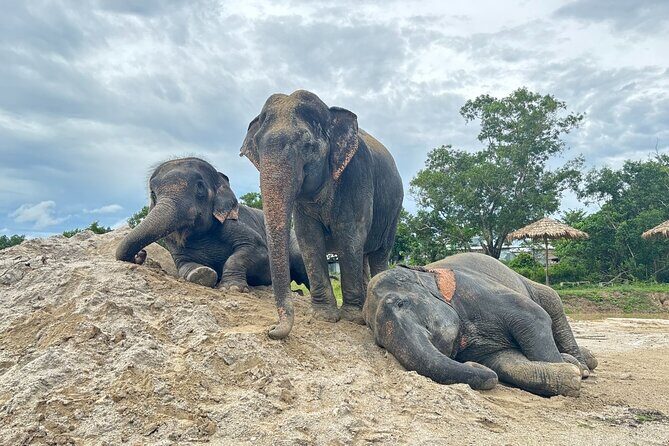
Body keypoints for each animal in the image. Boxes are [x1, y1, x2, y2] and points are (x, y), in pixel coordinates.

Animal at [115, 157, 310, 291]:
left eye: (200, 188)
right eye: (153, 193)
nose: (141, 254)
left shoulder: (232, 223)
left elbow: (257, 250)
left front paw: (232, 288)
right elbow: (183, 265)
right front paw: (203, 274)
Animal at [240, 90, 403, 339]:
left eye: (308, 146)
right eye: (257, 146)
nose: (271, 329)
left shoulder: (357, 175)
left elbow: (349, 235)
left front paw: (352, 319)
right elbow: (308, 238)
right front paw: (324, 316)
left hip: (393, 211)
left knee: (379, 253)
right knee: (364, 255)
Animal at [364, 253, 598, 397]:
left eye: (400, 303)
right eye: (379, 342)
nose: (471, 364)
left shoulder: (473, 289)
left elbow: (534, 317)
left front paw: (575, 370)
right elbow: (505, 362)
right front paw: (570, 374)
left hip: (535, 288)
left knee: (553, 302)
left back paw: (583, 366)